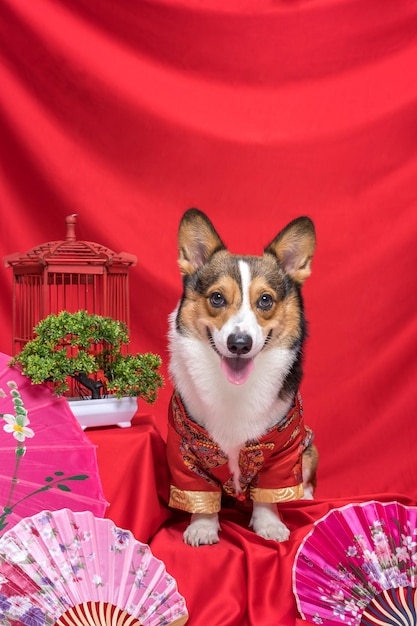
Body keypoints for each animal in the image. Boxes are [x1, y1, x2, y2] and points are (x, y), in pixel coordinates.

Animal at [167, 207, 316, 544]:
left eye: (266, 300)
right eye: (217, 298)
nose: (239, 343)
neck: (234, 389)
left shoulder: (283, 450)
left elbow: (269, 495)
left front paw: (269, 525)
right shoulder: (187, 451)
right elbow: (200, 492)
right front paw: (202, 527)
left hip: (308, 448)